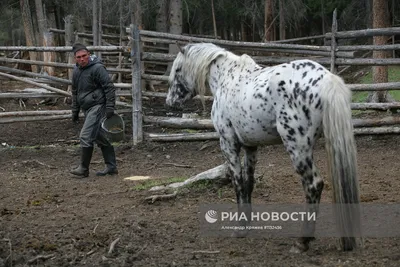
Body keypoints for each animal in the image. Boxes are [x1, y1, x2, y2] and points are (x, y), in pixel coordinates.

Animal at [166, 42, 362, 253]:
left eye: (178, 69)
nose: (170, 101)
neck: (227, 79)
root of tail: (326, 78)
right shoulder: (251, 147)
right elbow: (248, 183)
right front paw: (247, 224)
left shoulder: (228, 144)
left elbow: (237, 183)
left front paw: (239, 229)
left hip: (297, 148)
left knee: (313, 185)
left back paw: (302, 241)